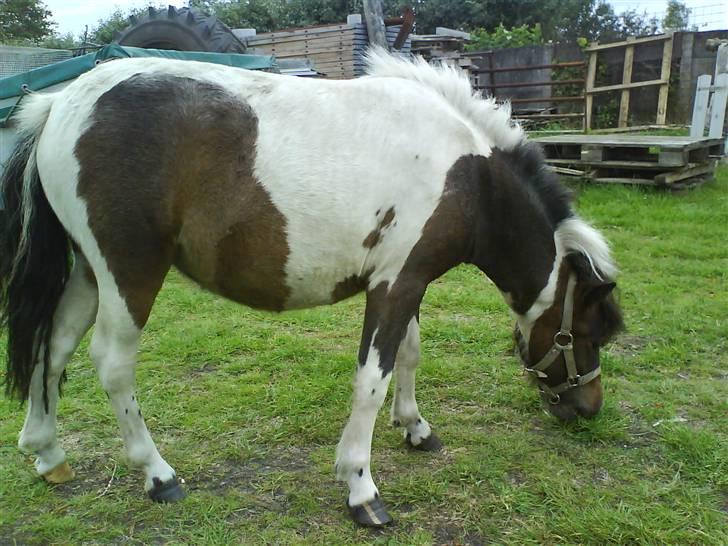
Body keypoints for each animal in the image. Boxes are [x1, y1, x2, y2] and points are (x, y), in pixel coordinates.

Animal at [0, 48, 623, 527]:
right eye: (586, 333)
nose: (589, 409)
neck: (466, 176)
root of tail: (60, 105)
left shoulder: (410, 280)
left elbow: (410, 356)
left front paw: (415, 428)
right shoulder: (394, 287)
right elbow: (371, 381)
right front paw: (361, 488)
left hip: (88, 271)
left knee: (52, 349)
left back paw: (47, 453)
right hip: (129, 273)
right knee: (111, 363)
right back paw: (158, 474)